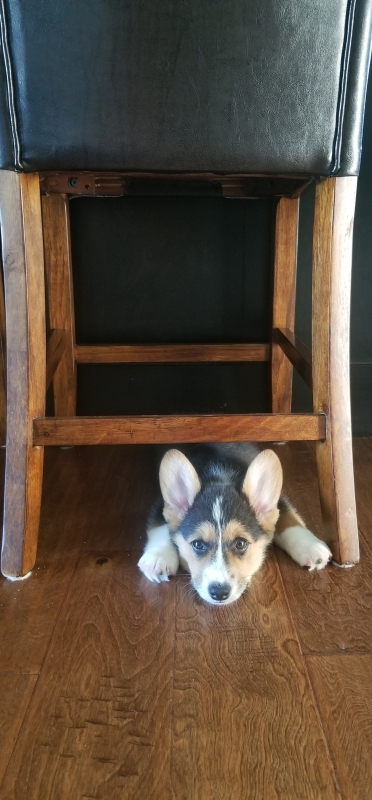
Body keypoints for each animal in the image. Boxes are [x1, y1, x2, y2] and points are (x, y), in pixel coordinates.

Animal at [138, 444, 332, 608]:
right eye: (198, 544)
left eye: (240, 543)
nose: (219, 593)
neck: (219, 479)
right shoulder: (161, 505)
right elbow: (160, 526)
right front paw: (158, 558)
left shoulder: (278, 502)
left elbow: (289, 518)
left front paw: (310, 547)